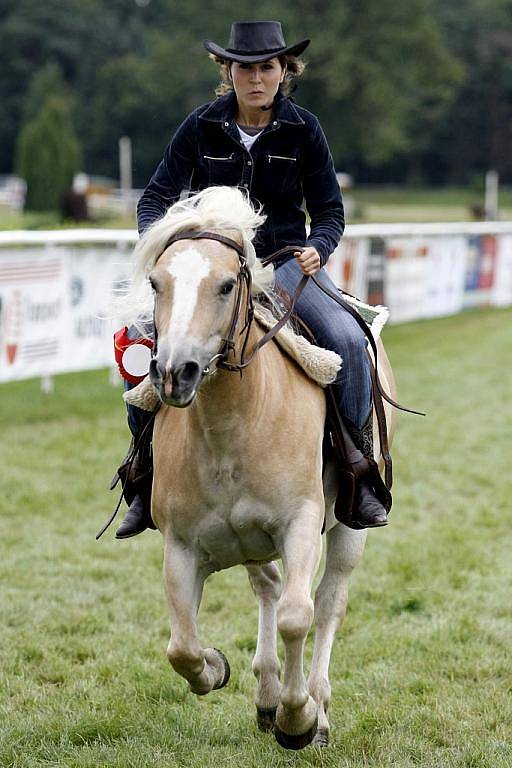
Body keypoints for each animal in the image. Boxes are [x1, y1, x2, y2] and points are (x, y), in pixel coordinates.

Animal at [121, 186, 396, 752]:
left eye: (227, 284)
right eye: (157, 283)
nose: (173, 373)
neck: (234, 425)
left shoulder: (300, 526)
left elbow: (297, 616)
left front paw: (299, 719)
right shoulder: (181, 547)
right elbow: (181, 645)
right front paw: (217, 667)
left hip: (348, 532)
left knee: (327, 603)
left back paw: (316, 709)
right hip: (250, 544)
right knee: (267, 588)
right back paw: (267, 695)